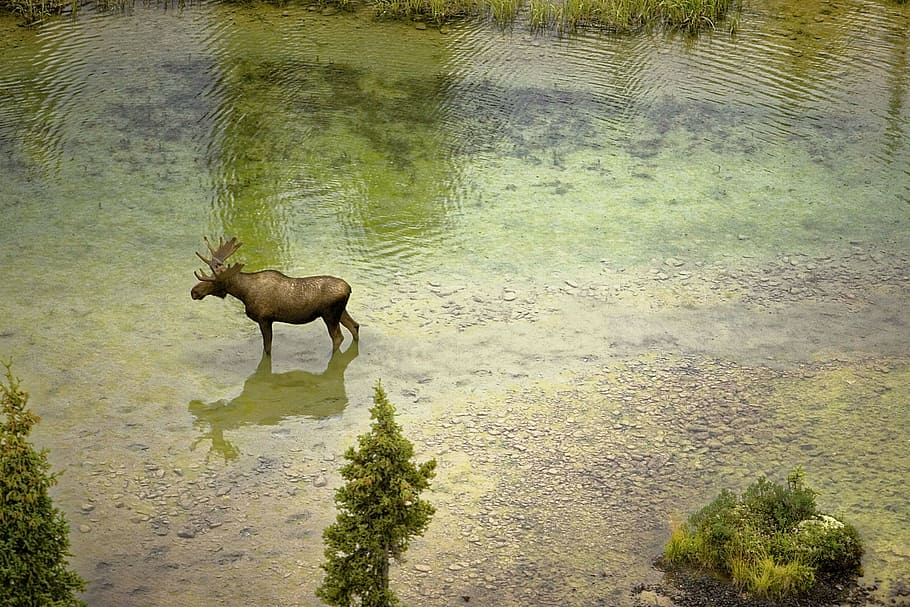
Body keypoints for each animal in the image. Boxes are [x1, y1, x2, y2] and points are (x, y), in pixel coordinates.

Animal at [191, 237, 359, 357]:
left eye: (215, 281)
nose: (194, 292)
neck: (244, 294)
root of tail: (349, 289)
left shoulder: (264, 319)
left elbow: (267, 348)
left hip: (330, 314)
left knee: (338, 337)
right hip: (341, 311)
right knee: (355, 326)